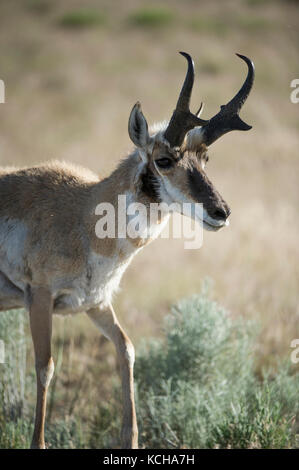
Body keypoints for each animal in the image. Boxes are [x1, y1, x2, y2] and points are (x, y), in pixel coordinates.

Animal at [0, 51, 255, 448]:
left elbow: (127, 350)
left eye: (204, 159)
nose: (221, 212)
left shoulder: (97, 304)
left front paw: (131, 438)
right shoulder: (39, 298)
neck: (82, 211)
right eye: (164, 160)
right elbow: (45, 366)